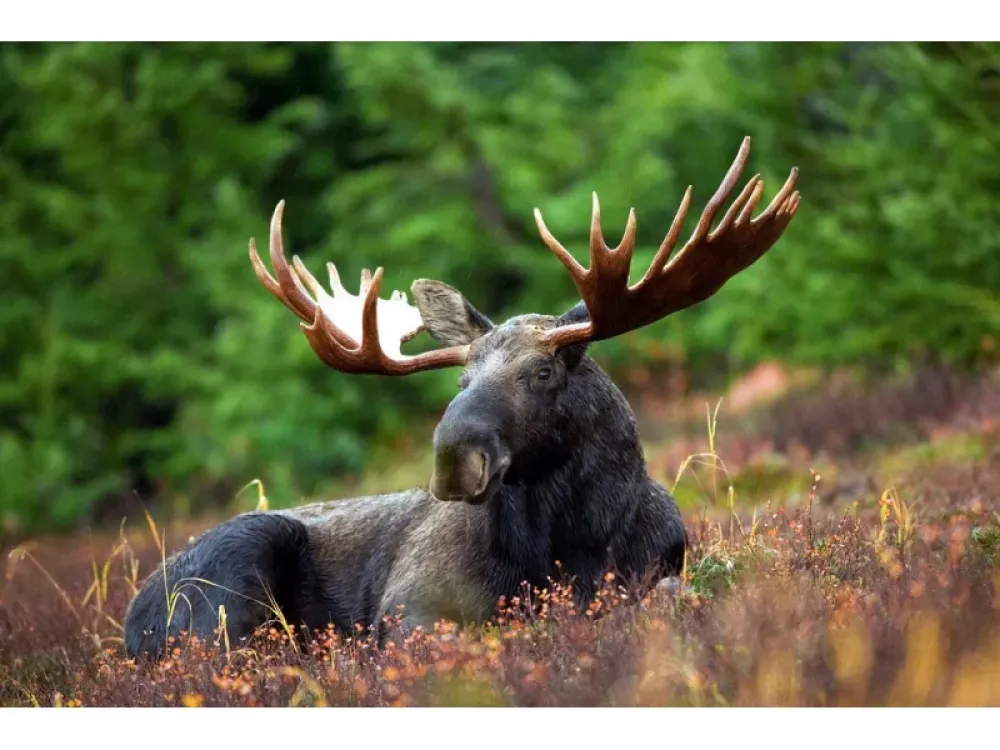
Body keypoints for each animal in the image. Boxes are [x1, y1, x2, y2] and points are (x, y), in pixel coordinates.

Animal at [124, 137, 800, 657]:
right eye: (461, 380)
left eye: (542, 372)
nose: (453, 458)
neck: (571, 544)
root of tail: (131, 620)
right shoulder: (410, 607)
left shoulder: (659, 569)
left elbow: (670, 595)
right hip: (233, 575)